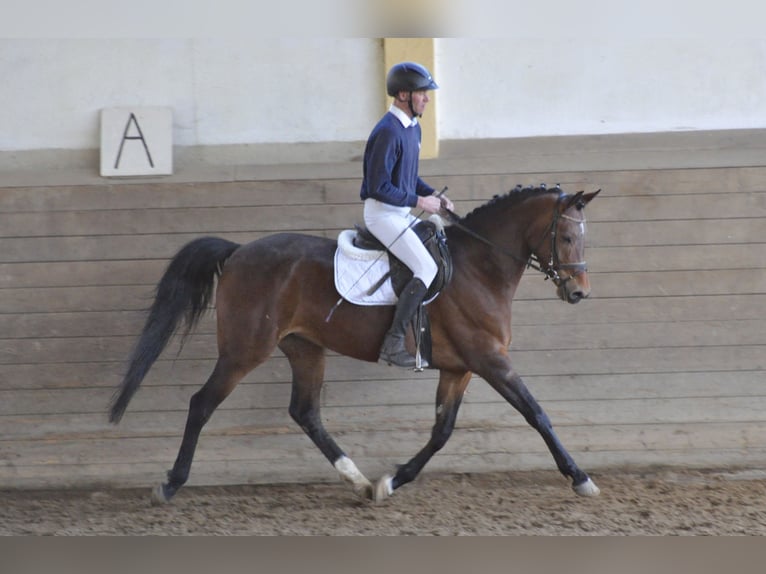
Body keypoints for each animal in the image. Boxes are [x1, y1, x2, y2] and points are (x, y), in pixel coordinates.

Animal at [108, 183, 604, 504]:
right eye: (566, 236)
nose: (579, 292)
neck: (478, 267)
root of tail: (238, 252)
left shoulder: (459, 368)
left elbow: (441, 432)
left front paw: (392, 482)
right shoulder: (490, 360)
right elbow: (536, 413)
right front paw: (580, 478)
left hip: (304, 348)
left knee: (306, 412)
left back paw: (360, 481)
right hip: (244, 350)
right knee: (202, 404)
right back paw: (170, 483)